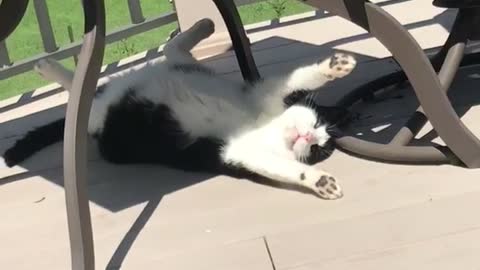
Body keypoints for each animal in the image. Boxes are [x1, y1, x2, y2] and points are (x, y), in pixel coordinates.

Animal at [1, 18, 354, 198]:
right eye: (316, 124)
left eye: (319, 148)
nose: (307, 137)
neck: (267, 127)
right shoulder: (264, 93)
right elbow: (301, 77)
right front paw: (336, 66)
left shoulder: (237, 154)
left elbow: (285, 168)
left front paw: (320, 181)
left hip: (112, 114)